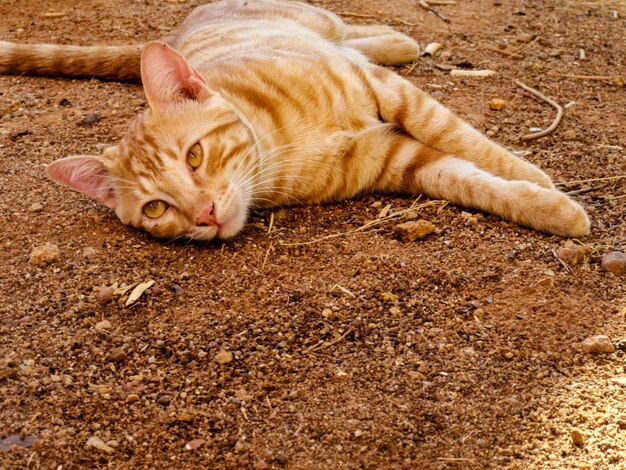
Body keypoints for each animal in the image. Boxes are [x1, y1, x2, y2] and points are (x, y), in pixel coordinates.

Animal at [0, 0, 588, 241]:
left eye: (194, 155)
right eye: (156, 208)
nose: (205, 214)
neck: (279, 146)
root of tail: (172, 35)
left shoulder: (389, 93)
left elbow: (463, 138)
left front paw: (534, 177)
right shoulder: (397, 161)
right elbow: (467, 179)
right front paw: (550, 207)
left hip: (317, 23)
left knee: (350, 32)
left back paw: (397, 40)